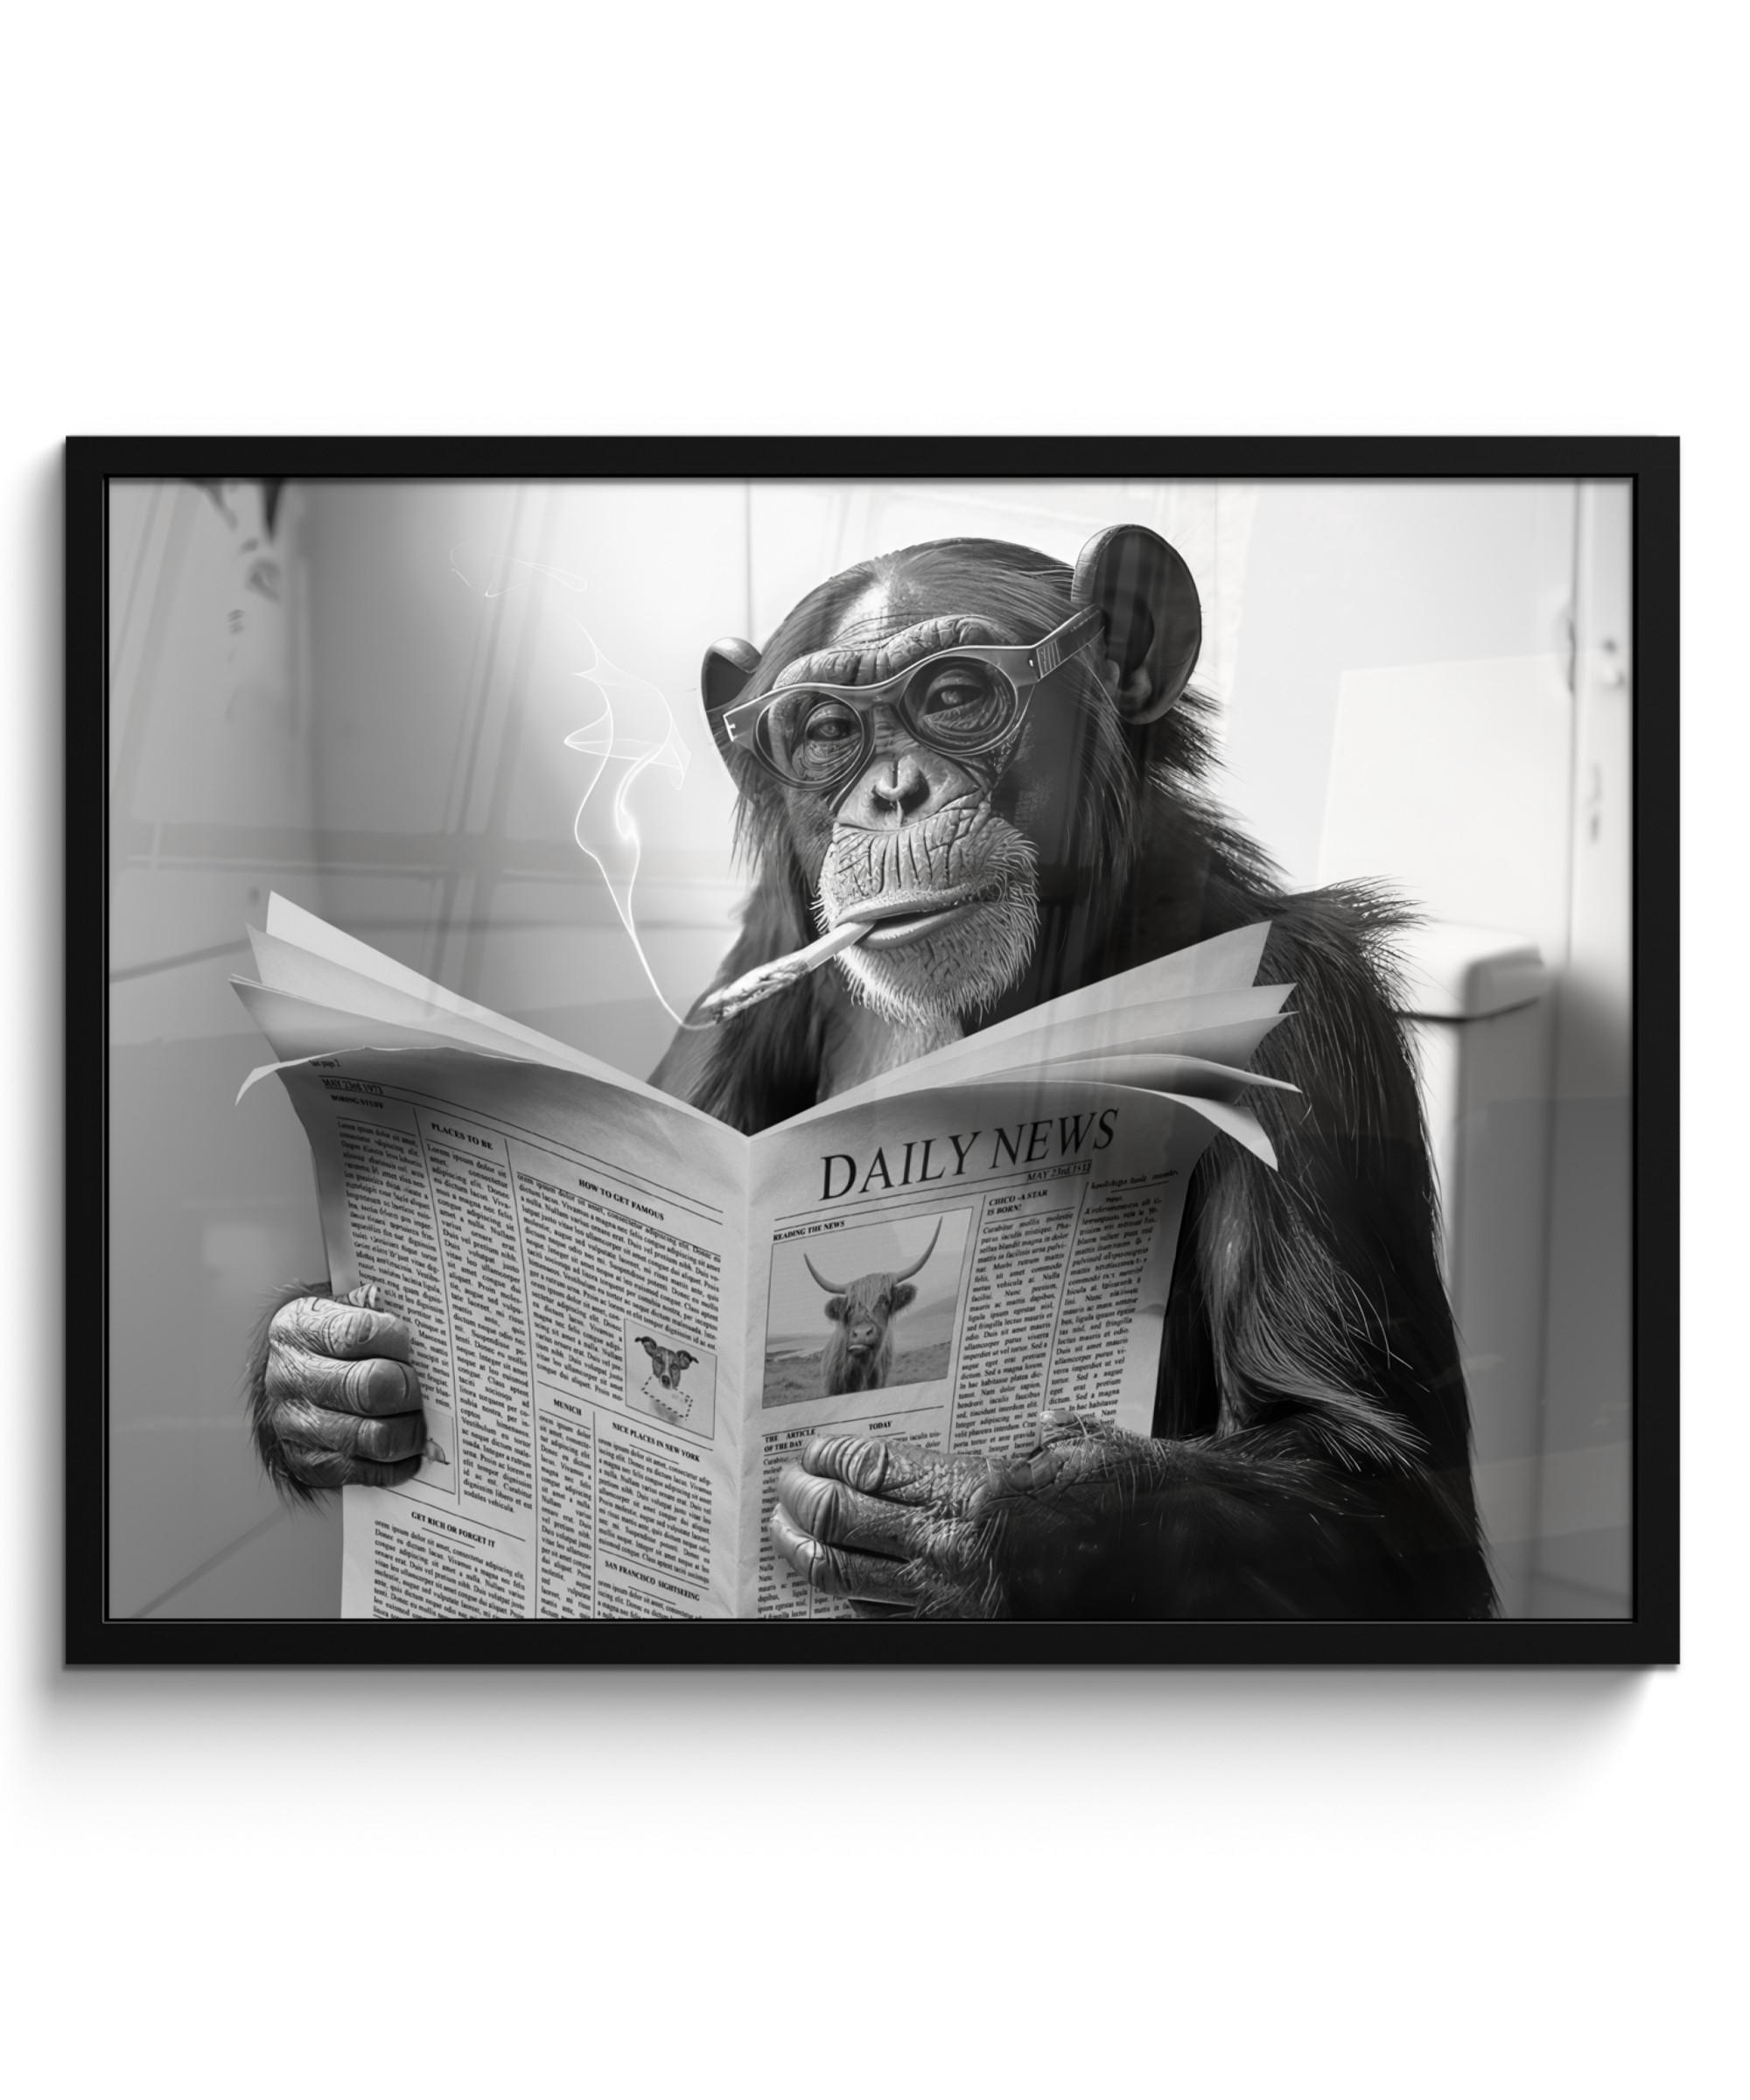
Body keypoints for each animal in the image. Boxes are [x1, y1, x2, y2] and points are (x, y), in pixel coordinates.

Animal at [251, 524, 1496, 1620]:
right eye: (821, 730)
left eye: (953, 695)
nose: (892, 791)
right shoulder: (750, 960)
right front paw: (327, 1375)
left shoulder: (1305, 1012)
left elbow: (1380, 1490)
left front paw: (961, 1518)